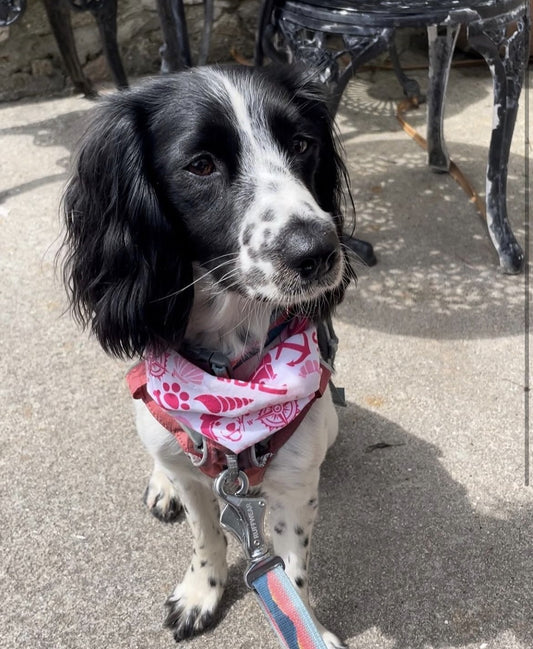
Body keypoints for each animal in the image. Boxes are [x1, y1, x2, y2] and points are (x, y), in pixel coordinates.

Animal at [61, 63, 354, 644]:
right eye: (201, 164)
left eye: (302, 143)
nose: (319, 251)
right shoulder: (195, 475)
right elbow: (206, 535)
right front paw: (202, 592)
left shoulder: (295, 484)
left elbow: (292, 570)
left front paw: (307, 626)